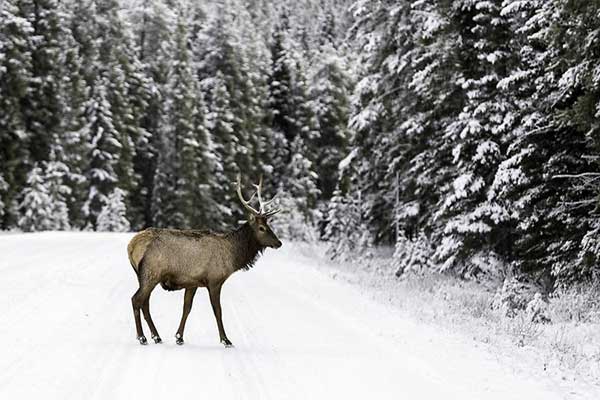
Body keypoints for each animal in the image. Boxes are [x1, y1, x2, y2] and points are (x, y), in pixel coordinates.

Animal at [126, 176, 282, 346]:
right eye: (262, 228)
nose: (279, 243)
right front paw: (225, 340)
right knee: (136, 299)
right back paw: (142, 337)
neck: (233, 257)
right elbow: (218, 310)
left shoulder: (192, 282)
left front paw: (179, 337)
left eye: (268, 225)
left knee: (145, 303)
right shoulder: (214, 280)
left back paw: (156, 336)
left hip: (142, 275)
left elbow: (187, 308)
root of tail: (132, 245)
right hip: (151, 273)